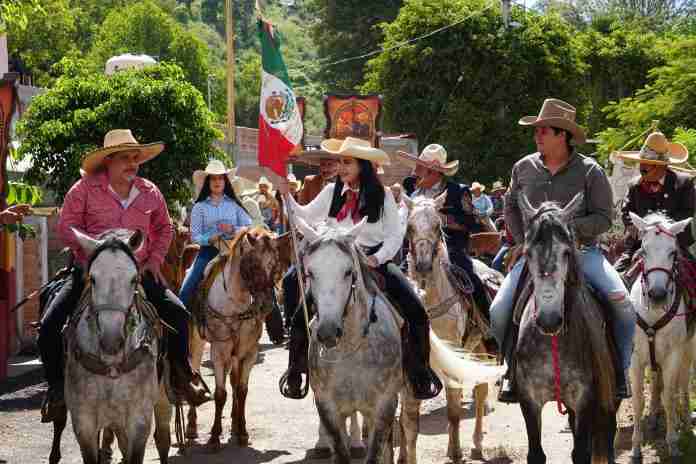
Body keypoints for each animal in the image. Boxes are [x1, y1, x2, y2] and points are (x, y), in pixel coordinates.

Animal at [56, 229, 172, 464]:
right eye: (92, 279)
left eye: (134, 279)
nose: (111, 341)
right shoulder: (83, 423)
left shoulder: (140, 421)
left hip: (163, 398)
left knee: (163, 437)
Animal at [512, 196, 616, 464]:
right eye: (527, 253)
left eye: (567, 252)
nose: (549, 320)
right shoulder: (529, 400)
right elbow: (536, 454)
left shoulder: (585, 399)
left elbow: (581, 452)